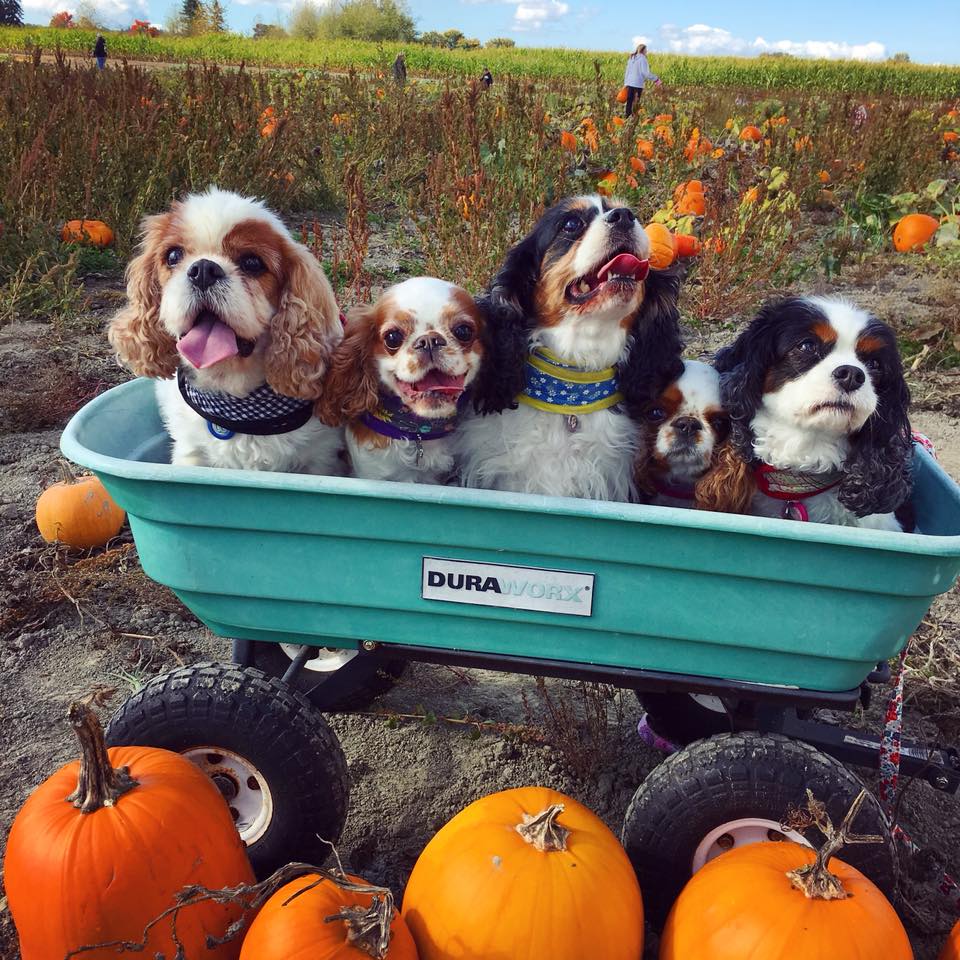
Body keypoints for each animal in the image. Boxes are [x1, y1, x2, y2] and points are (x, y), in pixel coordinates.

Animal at [108, 187, 344, 472]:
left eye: (252, 262)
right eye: (173, 256)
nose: (203, 270)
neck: (235, 401)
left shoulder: (321, 460)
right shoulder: (191, 455)